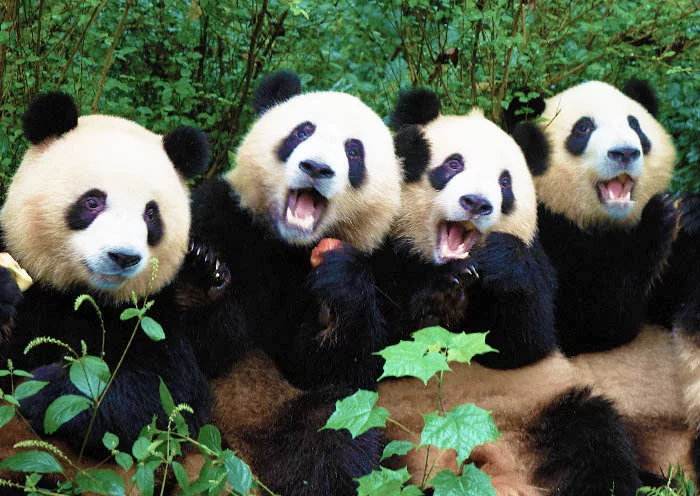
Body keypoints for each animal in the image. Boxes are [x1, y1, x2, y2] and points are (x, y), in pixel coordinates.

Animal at [0, 92, 212, 463]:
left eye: (151, 214)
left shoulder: (151, 314)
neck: (84, 295)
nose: (123, 256)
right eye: (92, 202)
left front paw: (43, 390)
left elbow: (165, 395)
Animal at [183, 71, 402, 495]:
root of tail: (245, 453)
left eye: (354, 152)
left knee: (336, 431)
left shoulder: (383, 264)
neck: (290, 245)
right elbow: (207, 348)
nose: (316, 168)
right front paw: (199, 279)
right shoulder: (222, 214)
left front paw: (337, 290)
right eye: (302, 131)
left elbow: (344, 367)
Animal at [370, 89, 642, 495]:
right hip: (387, 426)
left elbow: (526, 340)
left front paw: (494, 263)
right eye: (453, 164)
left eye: (505, 183)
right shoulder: (379, 245)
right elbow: (375, 343)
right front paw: (438, 298)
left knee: (595, 438)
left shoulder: (539, 261)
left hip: (547, 406)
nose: (475, 203)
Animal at [506, 81, 694, 481]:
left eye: (636, 125)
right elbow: (592, 323)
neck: (606, 223)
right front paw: (654, 221)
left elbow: (671, 304)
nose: (624, 152)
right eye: (583, 129)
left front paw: (689, 214)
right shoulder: (545, 232)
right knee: (587, 440)